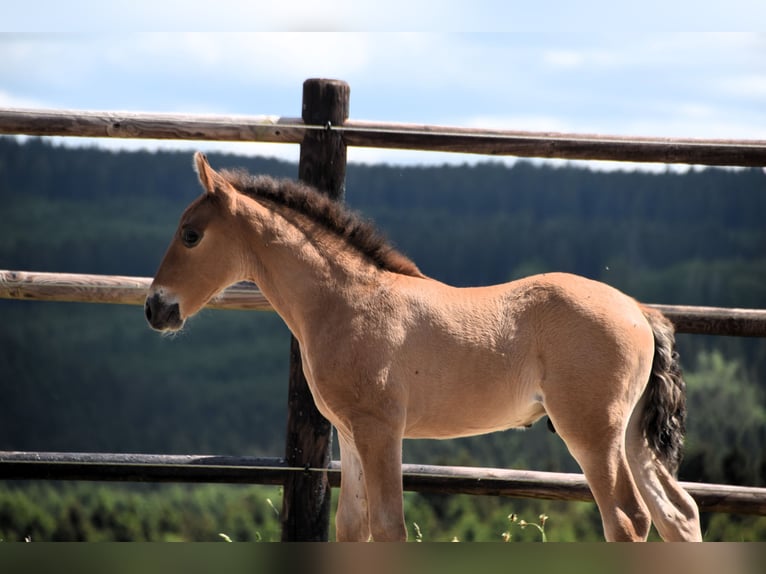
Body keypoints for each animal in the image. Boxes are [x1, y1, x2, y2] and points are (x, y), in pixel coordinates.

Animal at [144, 151, 704, 544]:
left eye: (191, 235)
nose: (155, 307)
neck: (348, 301)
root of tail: (639, 311)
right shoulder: (350, 434)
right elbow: (352, 528)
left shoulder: (381, 430)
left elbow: (388, 526)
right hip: (630, 433)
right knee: (679, 514)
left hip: (593, 432)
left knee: (628, 519)